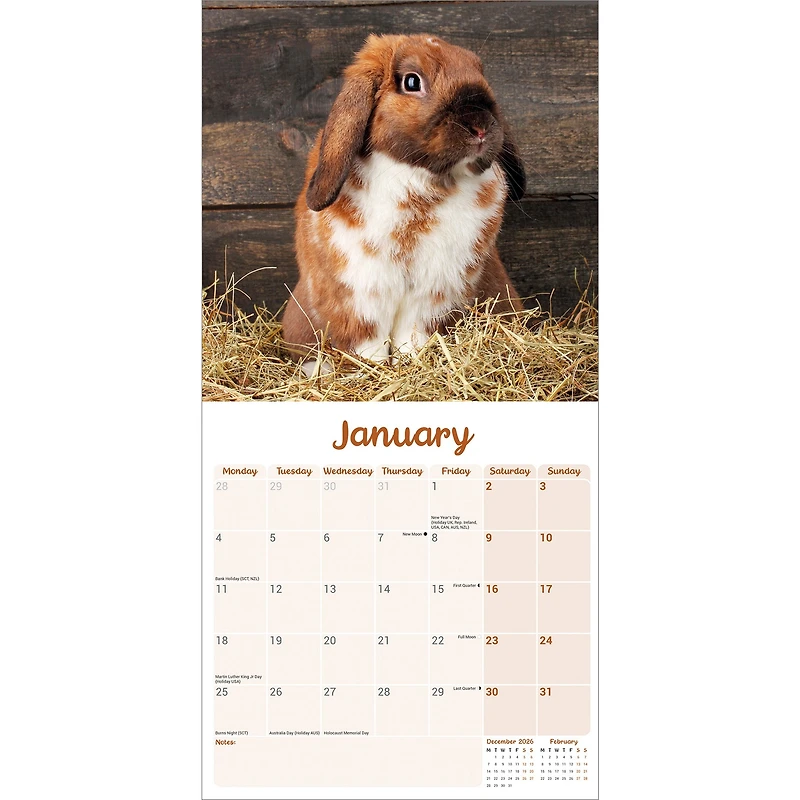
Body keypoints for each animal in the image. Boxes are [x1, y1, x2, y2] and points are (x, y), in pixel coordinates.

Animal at [281, 34, 526, 371]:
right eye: (412, 81)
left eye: (480, 72)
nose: (479, 125)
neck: (422, 184)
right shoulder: (360, 294)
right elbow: (366, 343)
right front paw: (370, 373)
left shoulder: (434, 294)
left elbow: (413, 337)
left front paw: (412, 364)